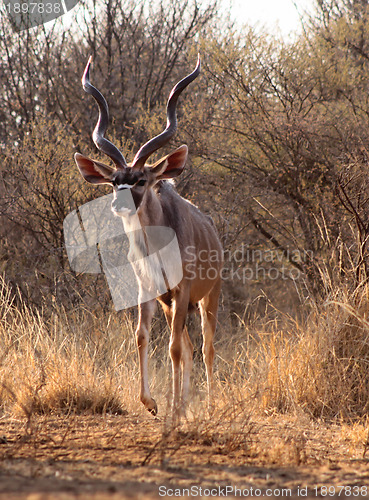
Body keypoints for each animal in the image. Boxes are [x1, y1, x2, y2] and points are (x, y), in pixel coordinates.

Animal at [73, 54, 220, 416]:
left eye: (141, 179)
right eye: (114, 181)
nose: (118, 203)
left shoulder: (182, 289)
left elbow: (174, 349)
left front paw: (173, 410)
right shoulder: (149, 290)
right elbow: (142, 336)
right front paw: (152, 403)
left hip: (209, 297)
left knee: (205, 347)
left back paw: (208, 406)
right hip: (170, 305)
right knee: (188, 345)